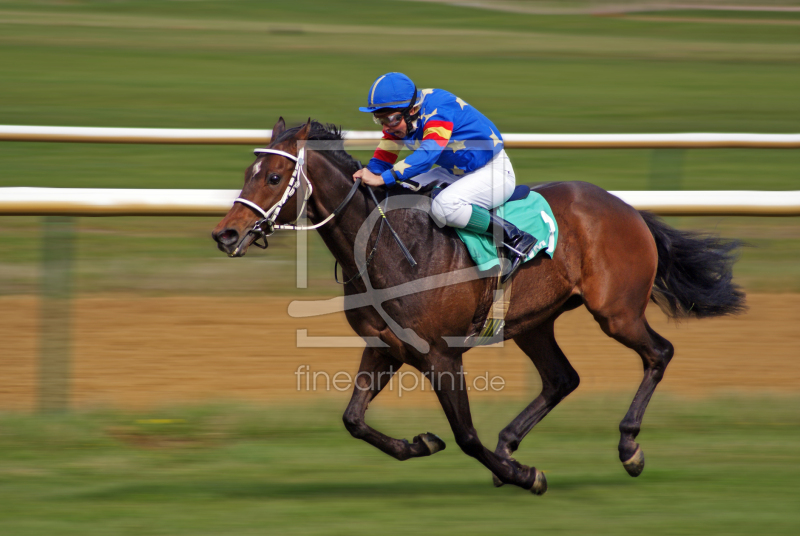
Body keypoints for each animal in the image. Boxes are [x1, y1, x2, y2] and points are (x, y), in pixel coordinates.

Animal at [211, 118, 744, 494]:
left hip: (616, 311)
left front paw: (525, 475)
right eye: (246, 174)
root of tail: (627, 208)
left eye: (274, 176)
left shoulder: (442, 356)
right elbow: (354, 419)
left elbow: (466, 434)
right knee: (561, 378)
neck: (389, 245)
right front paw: (421, 444)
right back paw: (509, 446)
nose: (226, 234)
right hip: (533, 323)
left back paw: (627, 445)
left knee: (658, 353)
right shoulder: (385, 347)